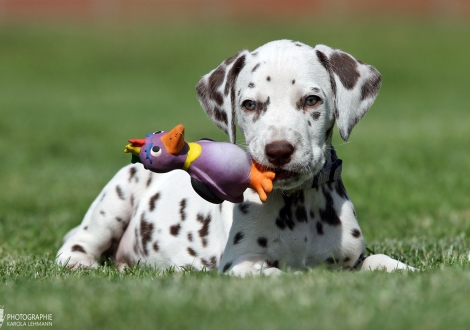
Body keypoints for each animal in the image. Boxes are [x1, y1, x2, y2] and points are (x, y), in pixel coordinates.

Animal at [57, 39, 414, 276]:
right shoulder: (240, 263)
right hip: (115, 199)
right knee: (78, 243)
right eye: (250, 105)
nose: (279, 150)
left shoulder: (350, 262)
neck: (296, 207)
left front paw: (406, 271)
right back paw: (80, 263)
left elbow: (379, 262)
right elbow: (275, 273)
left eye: (312, 100)